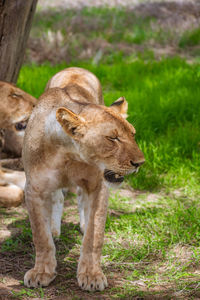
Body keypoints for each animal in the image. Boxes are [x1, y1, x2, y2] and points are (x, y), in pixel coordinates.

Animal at [22, 67, 145, 290]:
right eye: (112, 138)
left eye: (132, 134)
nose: (140, 162)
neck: (69, 156)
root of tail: (74, 68)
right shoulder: (34, 188)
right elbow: (40, 236)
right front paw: (41, 272)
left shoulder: (98, 187)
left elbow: (94, 236)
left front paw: (91, 275)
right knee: (58, 198)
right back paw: (55, 230)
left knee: (81, 199)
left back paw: (82, 224)